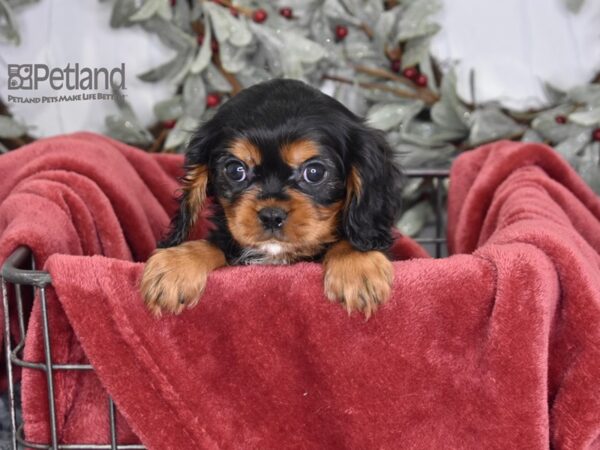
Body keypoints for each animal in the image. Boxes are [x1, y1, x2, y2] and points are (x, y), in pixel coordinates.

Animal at [141, 78, 404, 316]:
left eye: (314, 172)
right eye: (235, 170)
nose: (271, 216)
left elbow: (350, 242)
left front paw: (357, 266)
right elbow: (214, 245)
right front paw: (175, 264)